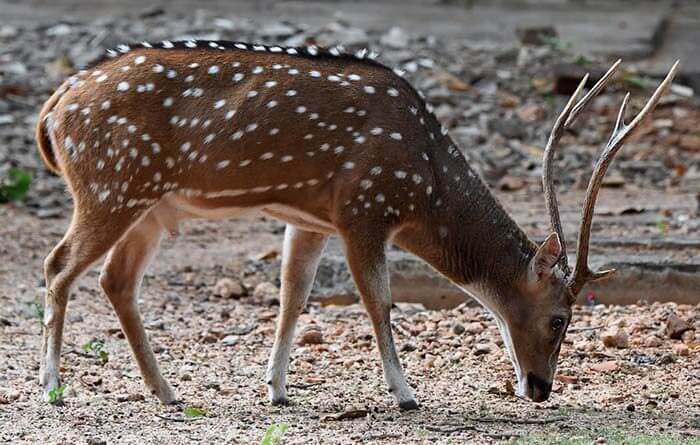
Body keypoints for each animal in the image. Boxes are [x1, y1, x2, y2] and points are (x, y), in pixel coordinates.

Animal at [34, 40, 680, 408]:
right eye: (559, 319)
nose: (541, 390)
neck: (427, 187)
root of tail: (52, 105)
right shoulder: (364, 208)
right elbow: (379, 302)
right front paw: (406, 395)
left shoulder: (312, 218)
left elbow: (292, 296)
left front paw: (277, 390)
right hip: (111, 187)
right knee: (57, 265)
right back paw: (53, 387)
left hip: (150, 206)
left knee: (115, 280)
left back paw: (167, 392)